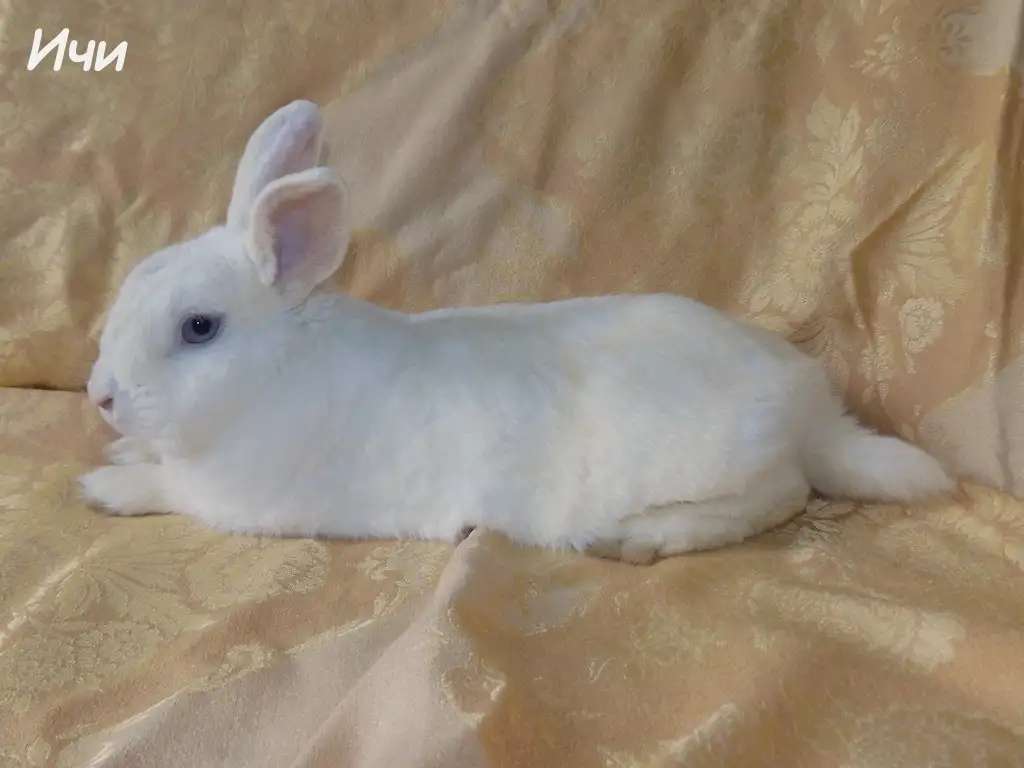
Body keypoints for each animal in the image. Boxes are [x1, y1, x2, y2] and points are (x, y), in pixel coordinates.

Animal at [79, 100, 955, 564]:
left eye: (199, 328)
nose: (100, 397)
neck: (277, 369)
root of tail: (808, 409)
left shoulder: (237, 500)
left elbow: (169, 492)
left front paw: (103, 486)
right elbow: (157, 464)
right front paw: (122, 455)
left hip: (722, 469)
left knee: (776, 497)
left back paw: (637, 542)